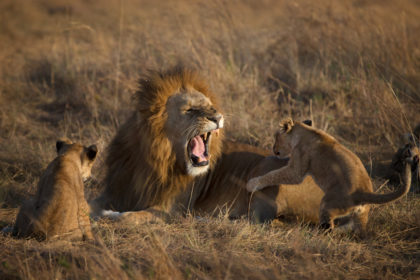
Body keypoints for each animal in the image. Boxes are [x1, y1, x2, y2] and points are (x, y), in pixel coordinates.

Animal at [91, 68, 322, 225]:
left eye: (210, 106)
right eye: (190, 109)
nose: (218, 117)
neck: (155, 159)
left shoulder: (171, 208)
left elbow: (129, 217)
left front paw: (110, 215)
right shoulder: (118, 189)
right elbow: (90, 202)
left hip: (267, 168)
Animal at [246, 118, 414, 234]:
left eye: (276, 137)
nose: (274, 149)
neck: (305, 132)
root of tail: (364, 192)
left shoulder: (296, 172)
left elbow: (273, 174)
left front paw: (253, 184)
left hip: (327, 203)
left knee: (328, 228)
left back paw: (312, 234)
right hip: (360, 216)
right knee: (352, 229)